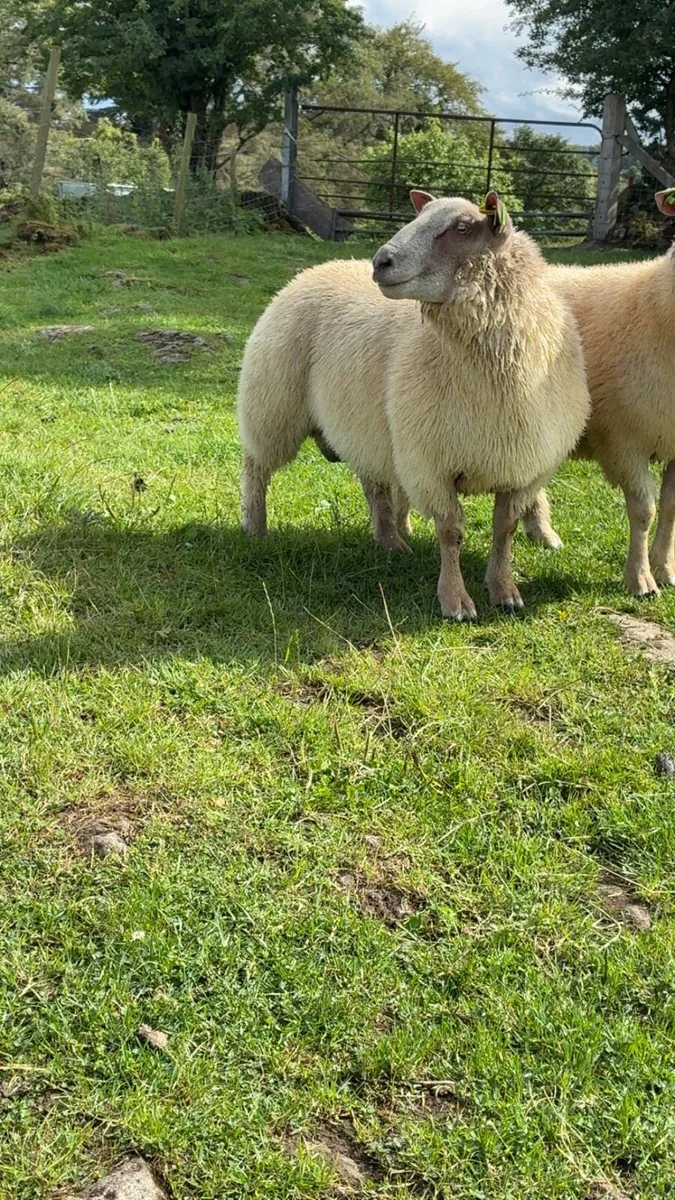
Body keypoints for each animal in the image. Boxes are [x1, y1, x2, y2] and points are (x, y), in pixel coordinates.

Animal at [237, 189, 590, 620]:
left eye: (461, 228)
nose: (380, 261)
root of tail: (315, 269)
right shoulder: (431, 464)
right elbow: (451, 531)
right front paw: (455, 600)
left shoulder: (523, 470)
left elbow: (503, 530)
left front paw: (504, 590)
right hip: (272, 406)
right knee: (256, 467)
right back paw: (256, 527)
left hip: (367, 425)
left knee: (373, 483)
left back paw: (391, 539)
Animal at [522, 189, 675, 596]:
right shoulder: (623, 440)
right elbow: (644, 510)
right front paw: (640, 578)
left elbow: (670, 509)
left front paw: (665, 569)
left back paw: (542, 533)